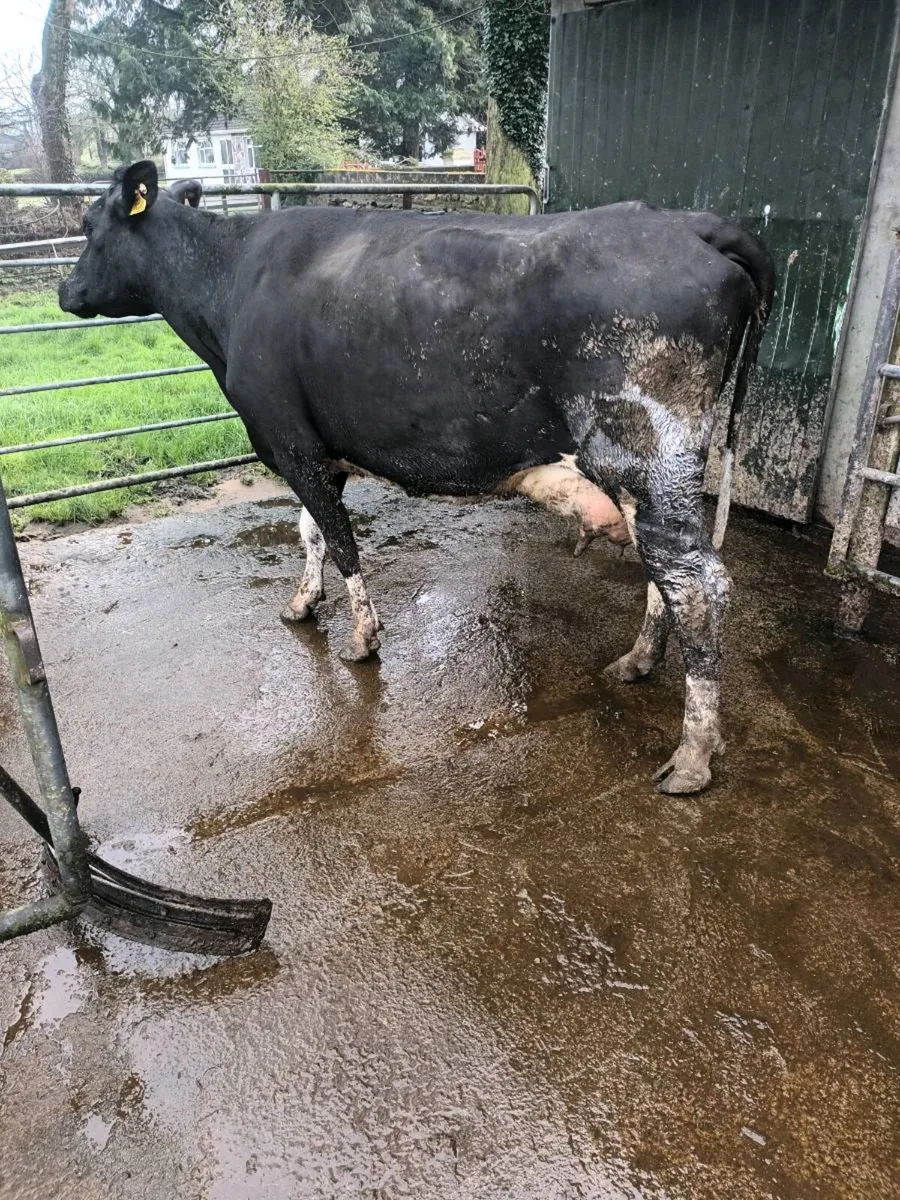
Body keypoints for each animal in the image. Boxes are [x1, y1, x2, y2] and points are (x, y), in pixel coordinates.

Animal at [59, 162, 775, 794]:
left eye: (90, 223)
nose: (65, 293)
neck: (228, 285)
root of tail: (689, 223)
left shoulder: (289, 441)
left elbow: (341, 542)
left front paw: (361, 639)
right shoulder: (318, 450)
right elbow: (310, 532)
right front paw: (302, 602)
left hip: (646, 450)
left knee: (699, 584)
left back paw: (692, 757)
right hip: (652, 473)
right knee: (669, 574)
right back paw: (639, 661)